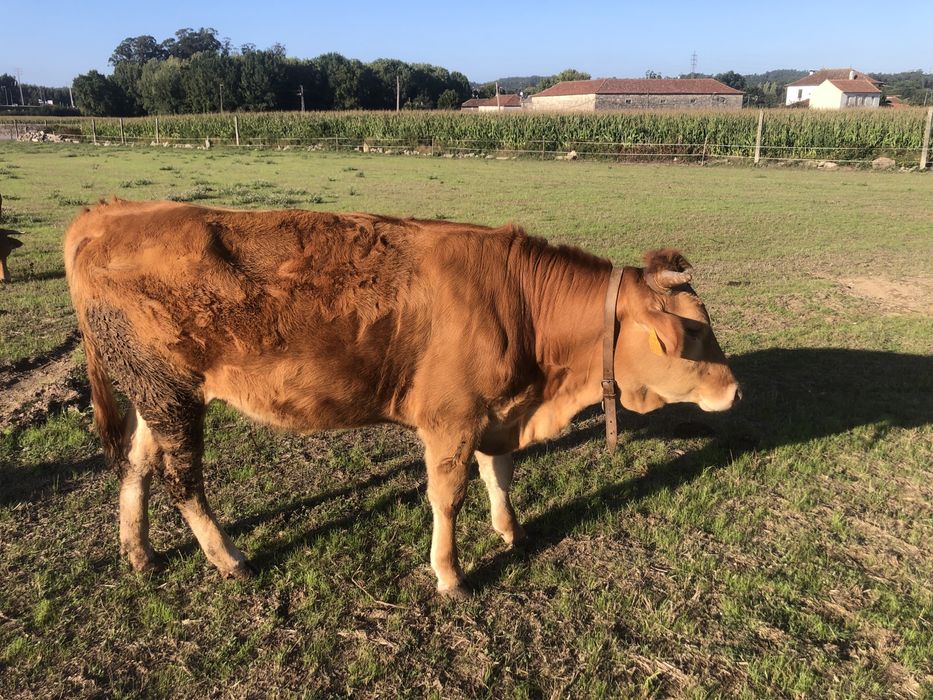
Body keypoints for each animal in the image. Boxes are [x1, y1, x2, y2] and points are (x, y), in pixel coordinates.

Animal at [64, 199, 740, 597]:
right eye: (694, 333)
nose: (734, 390)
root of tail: (109, 213)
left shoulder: (497, 412)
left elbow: (500, 473)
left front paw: (511, 530)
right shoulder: (451, 419)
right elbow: (448, 496)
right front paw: (450, 574)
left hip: (157, 390)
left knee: (137, 466)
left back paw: (139, 553)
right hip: (172, 394)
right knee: (183, 481)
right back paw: (227, 557)